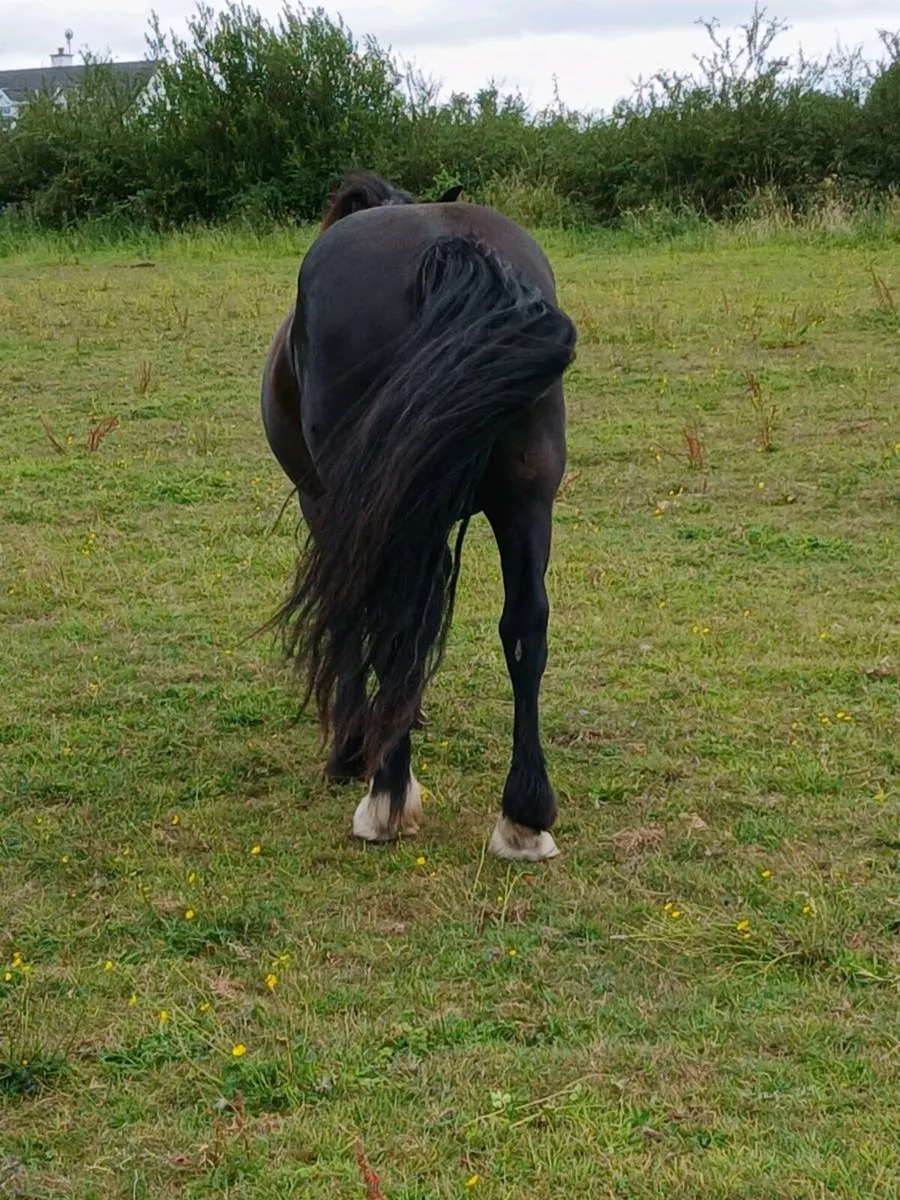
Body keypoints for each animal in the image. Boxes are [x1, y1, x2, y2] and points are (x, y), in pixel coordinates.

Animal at [260, 170, 576, 861]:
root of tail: (447, 247)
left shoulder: (328, 508)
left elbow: (354, 619)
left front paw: (352, 748)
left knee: (391, 621)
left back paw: (386, 797)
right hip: (524, 501)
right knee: (525, 628)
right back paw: (524, 816)